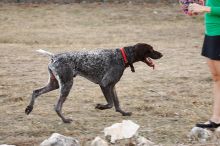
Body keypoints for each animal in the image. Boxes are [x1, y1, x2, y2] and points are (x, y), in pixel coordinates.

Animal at [24, 42, 162, 122]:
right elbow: (110, 103)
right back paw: (65, 120)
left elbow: (117, 103)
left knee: (36, 91)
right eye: (151, 49)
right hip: (67, 85)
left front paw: (123, 113)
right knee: (57, 106)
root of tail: (54, 57)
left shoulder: (112, 86)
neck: (122, 56)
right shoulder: (104, 84)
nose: (162, 54)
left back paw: (29, 108)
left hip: (55, 84)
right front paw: (100, 106)